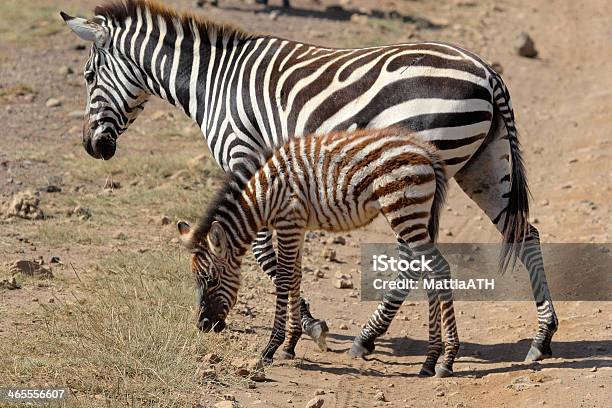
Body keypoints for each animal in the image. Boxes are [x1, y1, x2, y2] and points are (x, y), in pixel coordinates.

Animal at [177, 129, 460, 378]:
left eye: (211, 280)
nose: (203, 326)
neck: (264, 194)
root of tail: (426, 151)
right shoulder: (296, 226)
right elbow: (295, 277)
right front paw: (290, 344)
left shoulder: (288, 222)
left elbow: (283, 279)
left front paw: (270, 348)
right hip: (416, 216)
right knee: (429, 273)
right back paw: (430, 361)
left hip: (405, 212)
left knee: (439, 268)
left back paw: (446, 361)